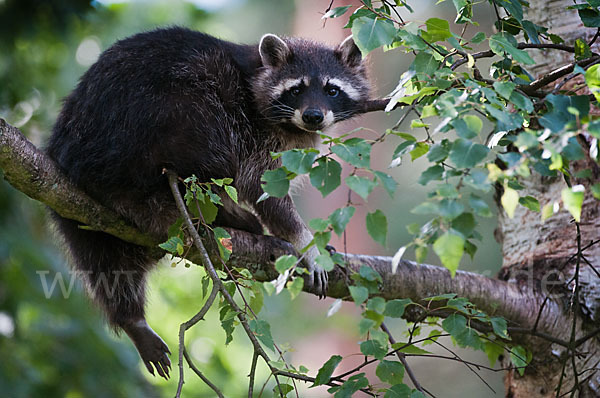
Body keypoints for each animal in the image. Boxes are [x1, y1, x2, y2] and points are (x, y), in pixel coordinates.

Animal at [48, 27, 370, 380]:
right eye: (296, 89)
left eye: (331, 89)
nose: (313, 116)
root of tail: (66, 156)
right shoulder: (255, 133)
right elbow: (260, 188)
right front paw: (303, 240)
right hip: (148, 124)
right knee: (208, 136)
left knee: (108, 265)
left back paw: (130, 316)